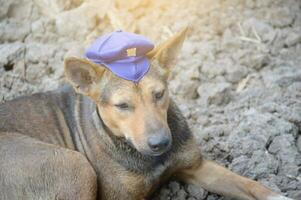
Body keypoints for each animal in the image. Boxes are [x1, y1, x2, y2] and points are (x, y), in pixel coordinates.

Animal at [0, 28, 292, 200]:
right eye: (122, 106)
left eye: (159, 94)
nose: (160, 143)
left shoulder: (197, 167)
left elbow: (249, 183)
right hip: (74, 166)